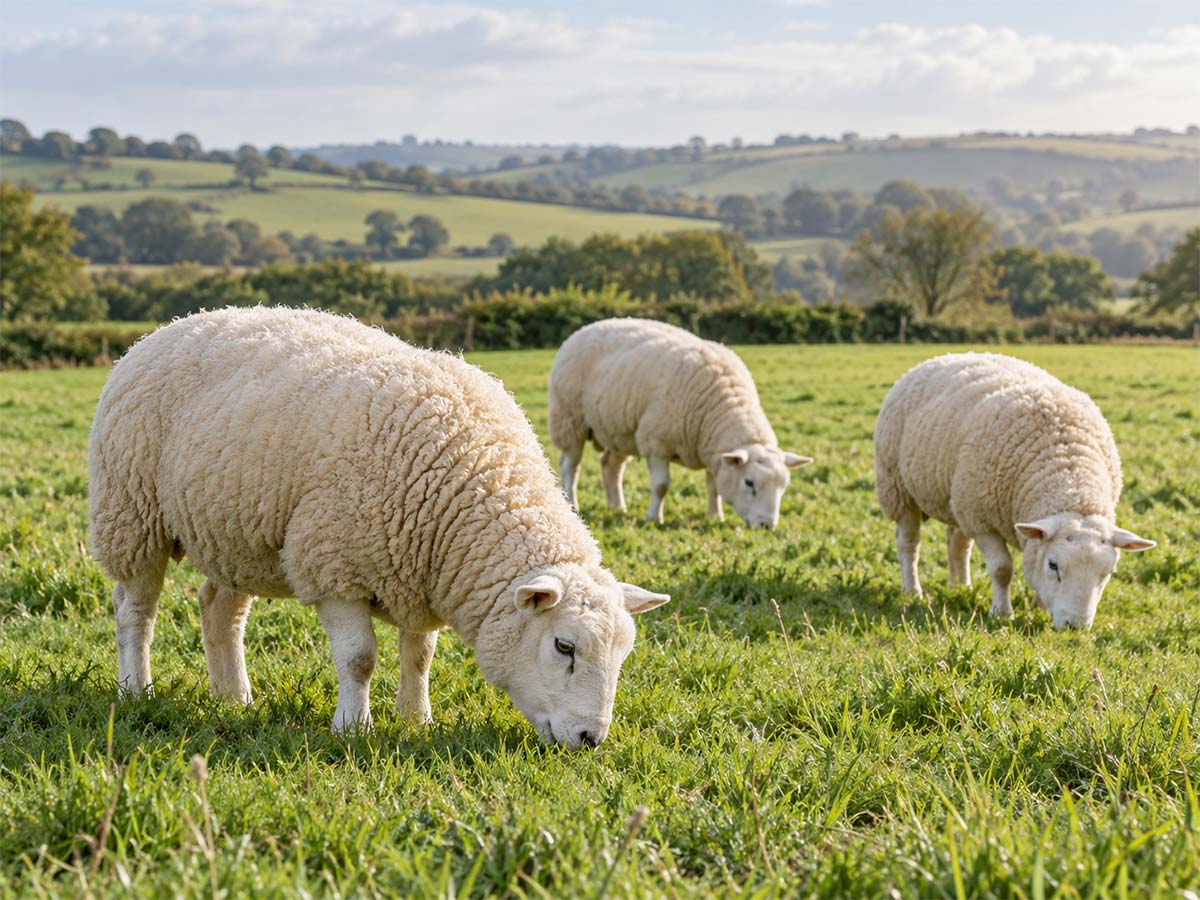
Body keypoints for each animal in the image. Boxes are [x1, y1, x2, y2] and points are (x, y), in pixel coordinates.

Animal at [88, 307, 669, 748]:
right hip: (131, 513)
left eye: (622, 654)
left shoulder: (422, 571)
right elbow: (360, 658)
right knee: (135, 610)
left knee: (219, 610)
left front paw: (417, 718)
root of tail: (162, 330)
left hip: (235, 531)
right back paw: (136, 689)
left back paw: (234, 698)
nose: (592, 739)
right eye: (564, 647)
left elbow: (420, 656)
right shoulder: (334, 565)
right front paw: (353, 727)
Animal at [548, 318, 812, 528]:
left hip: (619, 430)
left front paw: (715, 516)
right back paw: (572, 503)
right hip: (569, 420)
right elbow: (661, 486)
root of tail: (585, 328)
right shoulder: (656, 443)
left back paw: (617, 507)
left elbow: (713, 487)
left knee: (611, 467)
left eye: (784, 486)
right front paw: (654, 518)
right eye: (749, 483)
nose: (767, 526)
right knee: (571, 466)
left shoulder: (714, 453)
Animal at [874, 352, 1154, 629]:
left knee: (958, 543)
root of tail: (941, 357)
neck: (1071, 482)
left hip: (958, 497)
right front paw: (1002, 613)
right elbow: (1002, 569)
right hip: (899, 489)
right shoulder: (983, 522)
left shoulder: (974, 510)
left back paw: (961, 587)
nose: (1075, 626)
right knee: (909, 543)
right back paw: (912, 591)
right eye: (1053, 565)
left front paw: (1038, 606)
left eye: (1108, 573)